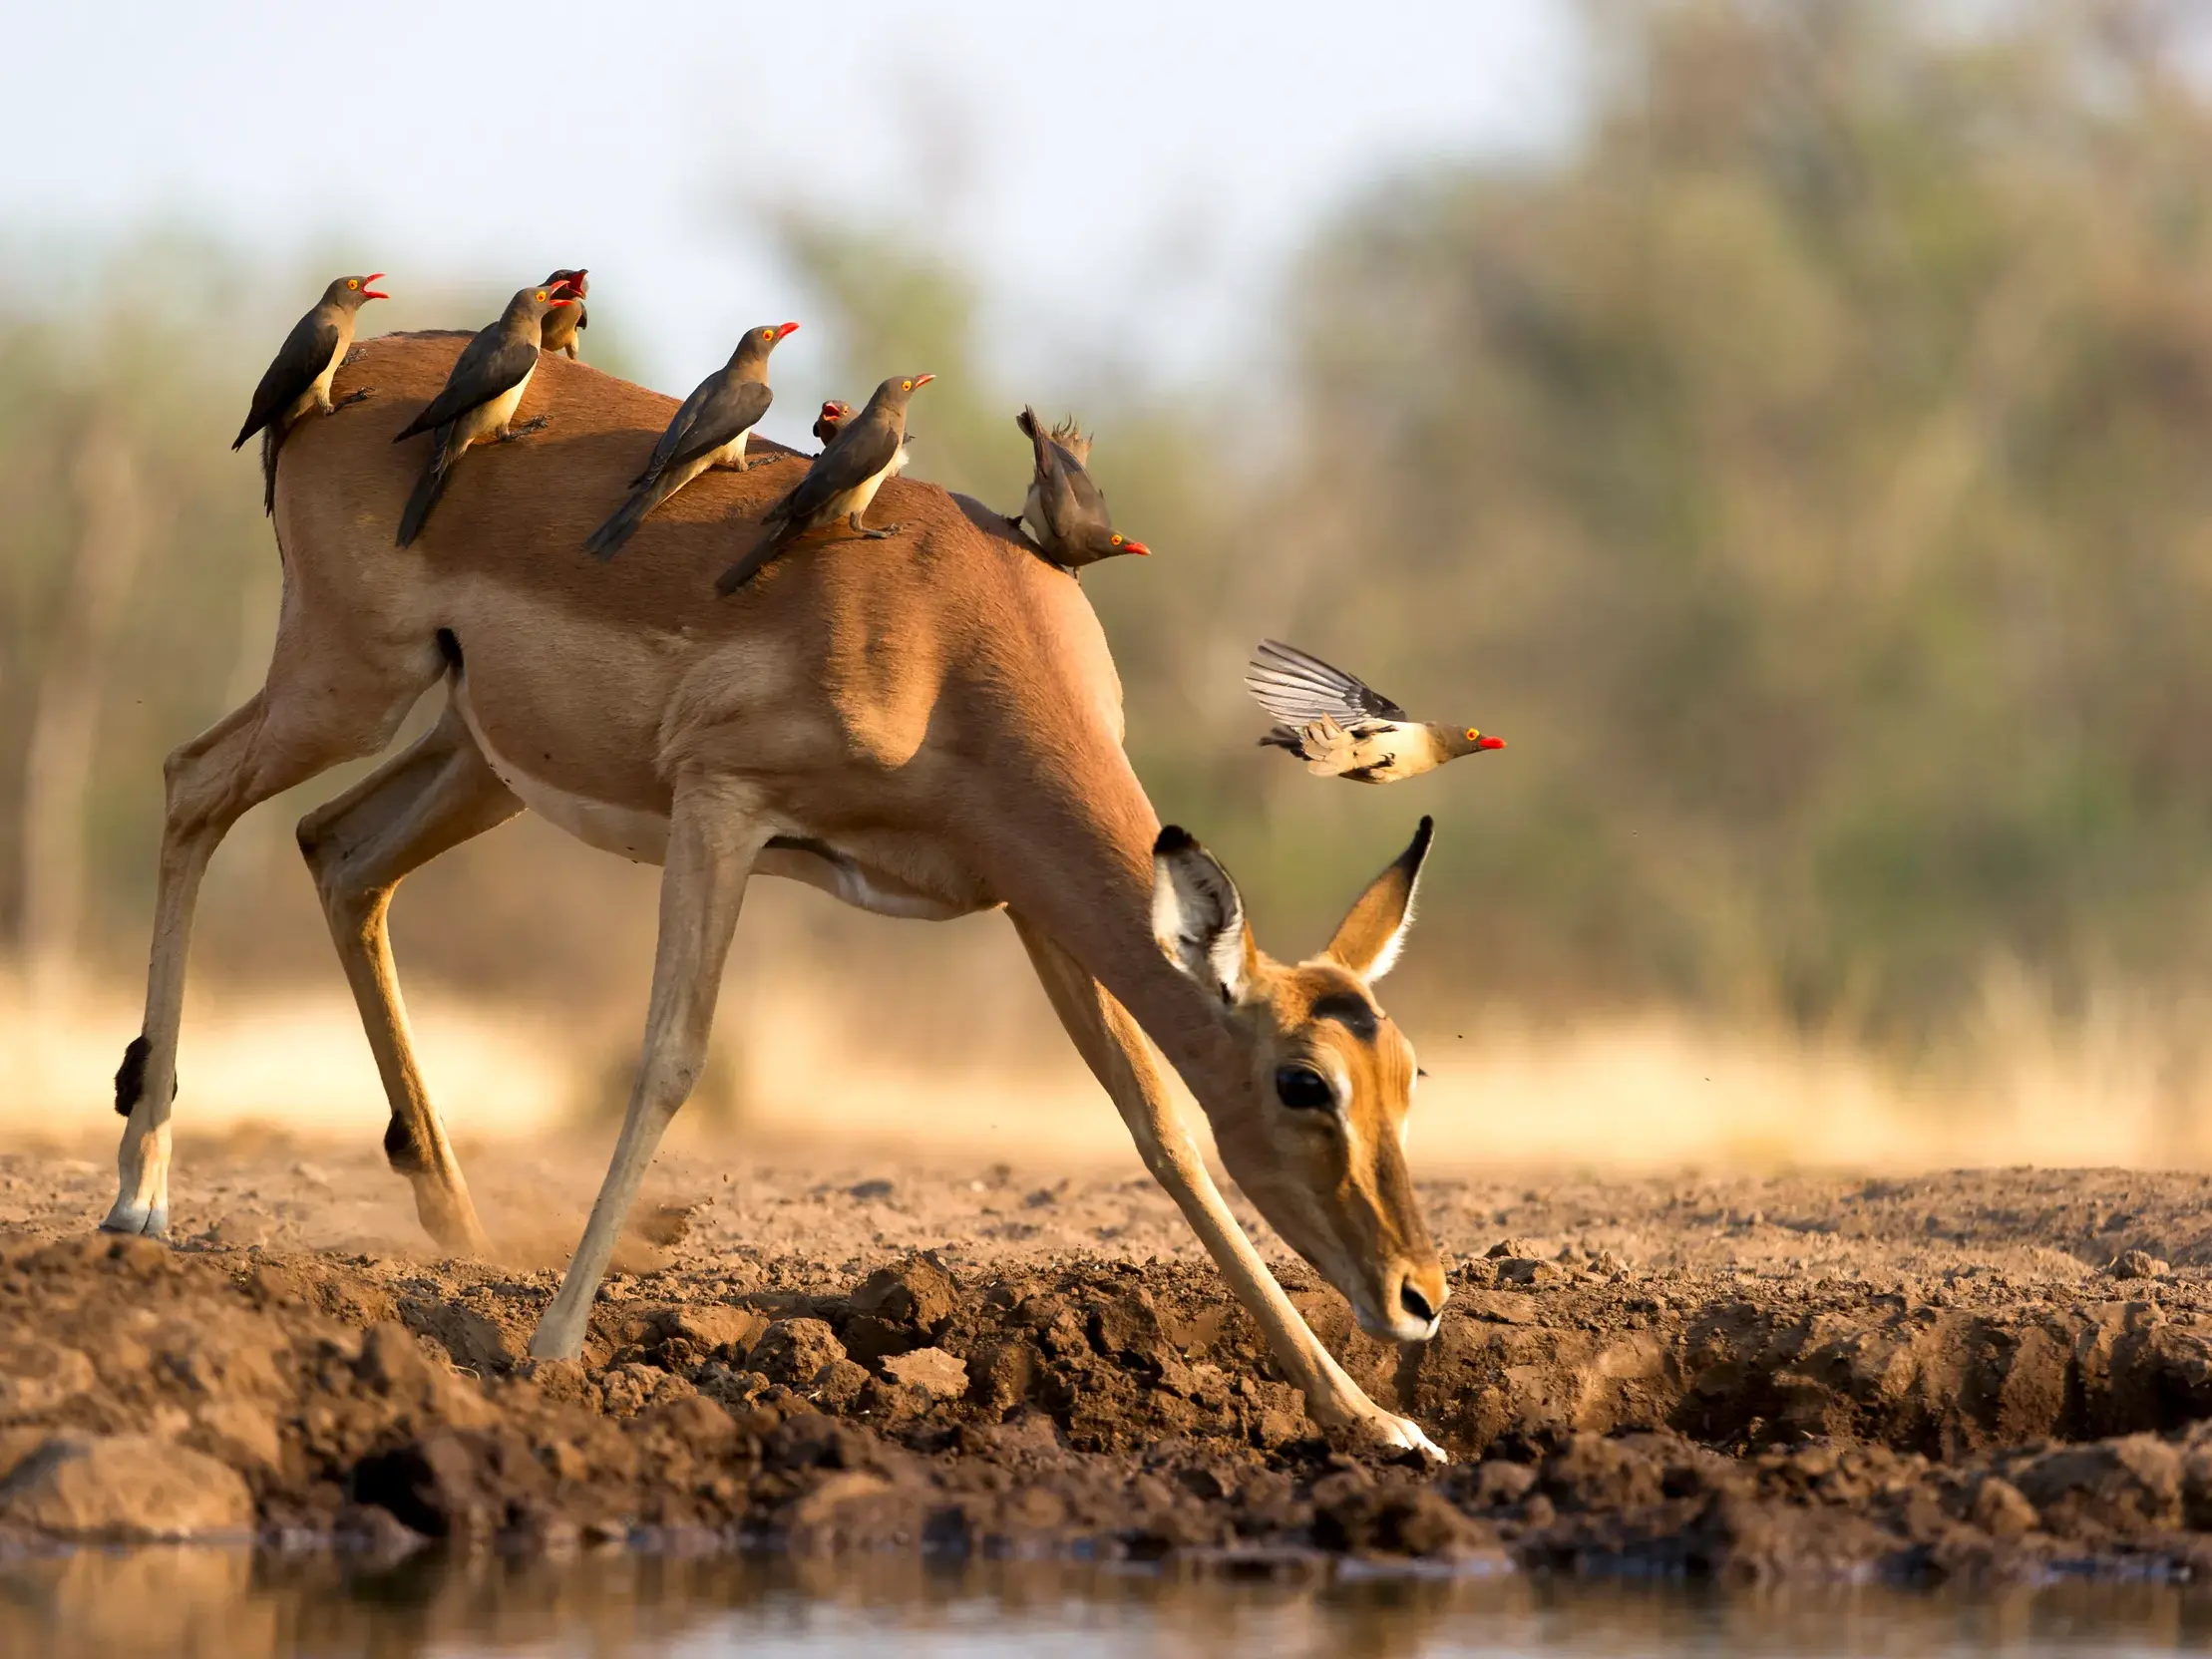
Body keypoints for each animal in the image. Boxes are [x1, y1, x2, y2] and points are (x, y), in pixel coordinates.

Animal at [102, 333, 1453, 1458]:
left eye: (1408, 1076)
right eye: (1303, 1081)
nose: (1420, 1295)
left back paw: (457, 1220)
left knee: (337, 850)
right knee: (191, 784)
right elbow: (669, 1058)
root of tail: (350, 367)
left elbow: (1159, 1124)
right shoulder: (723, 804)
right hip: (347, 681)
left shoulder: (1024, 898)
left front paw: (1379, 1423)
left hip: (472, 754)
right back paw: (139, 1200)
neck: (953, 642)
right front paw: (550, 1351)